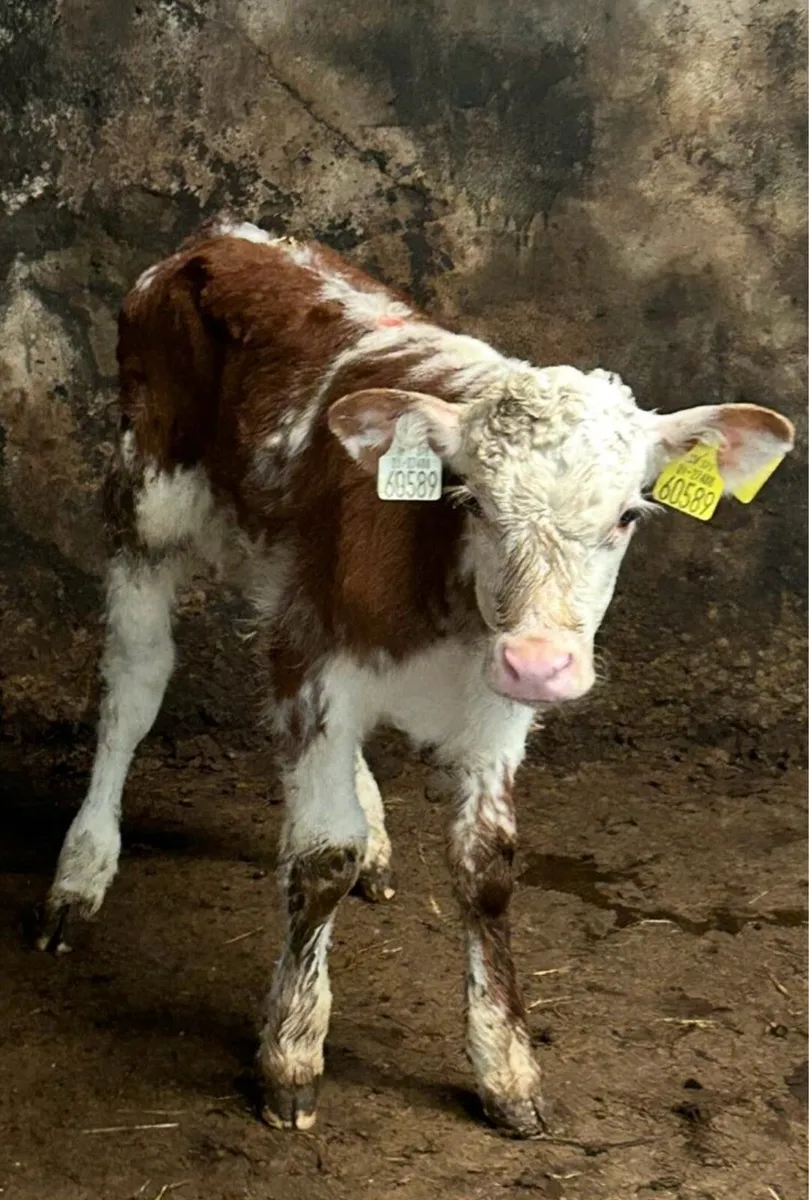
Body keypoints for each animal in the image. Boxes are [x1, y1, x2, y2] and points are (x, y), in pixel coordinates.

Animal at [35, 216, 794, 1137]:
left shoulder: (479, 697)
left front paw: (506, 1068)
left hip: (277, 556)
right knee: (134, 685)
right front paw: (291, 1052)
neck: (445, 592)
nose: (540, 663)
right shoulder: (316, 654)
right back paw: (80, 875)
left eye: (626, 515)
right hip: (145, 498)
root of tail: (225, 238)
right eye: (472, 501)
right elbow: (319, 854)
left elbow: (487, 865)